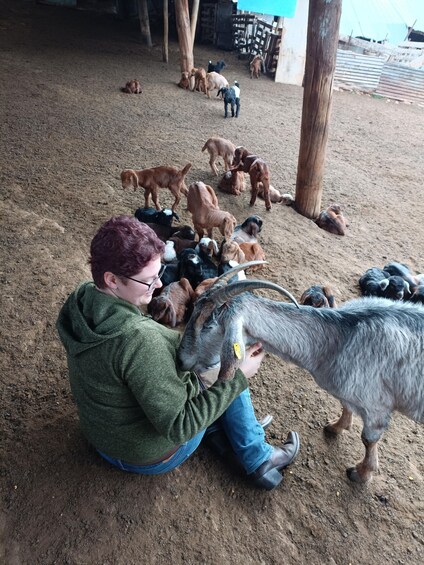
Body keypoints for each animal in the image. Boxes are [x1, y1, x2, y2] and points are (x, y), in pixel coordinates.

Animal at [179, 262, 424, 482]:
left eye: (209, 325)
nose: (182, 358)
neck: (340, 338)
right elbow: (346, 406)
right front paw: (336, 427)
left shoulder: (377, 406)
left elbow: (368, 438)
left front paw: (361, 474)